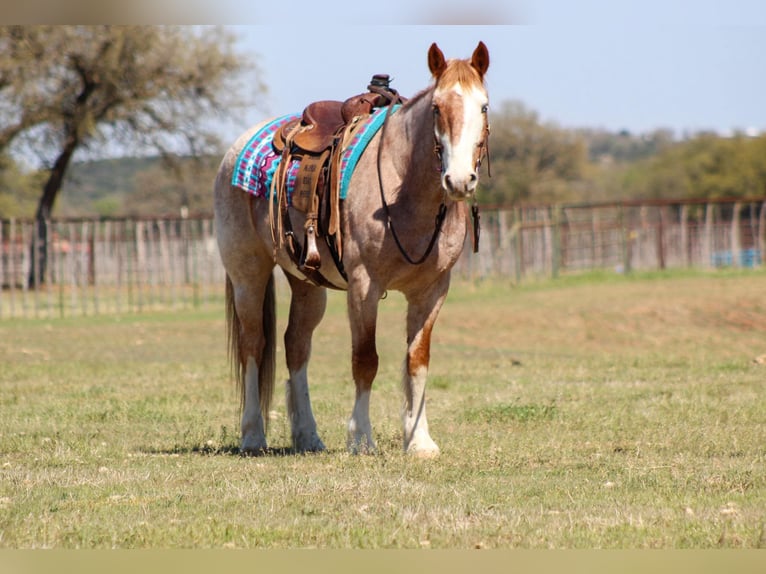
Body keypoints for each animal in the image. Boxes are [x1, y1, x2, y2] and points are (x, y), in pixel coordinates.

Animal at [213, 41, 490, 457]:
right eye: (437, 107)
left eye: (484, 106)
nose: (459, 180)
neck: (404, 187)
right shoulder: (364, 287)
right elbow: (365, 360)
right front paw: (361, 437)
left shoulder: (433, 291)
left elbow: (417, 361)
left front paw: (419, 440)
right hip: (248, 273)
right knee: (253, 345)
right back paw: (252, 435)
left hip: (307, 284)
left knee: (296, 345)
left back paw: (308, 435)